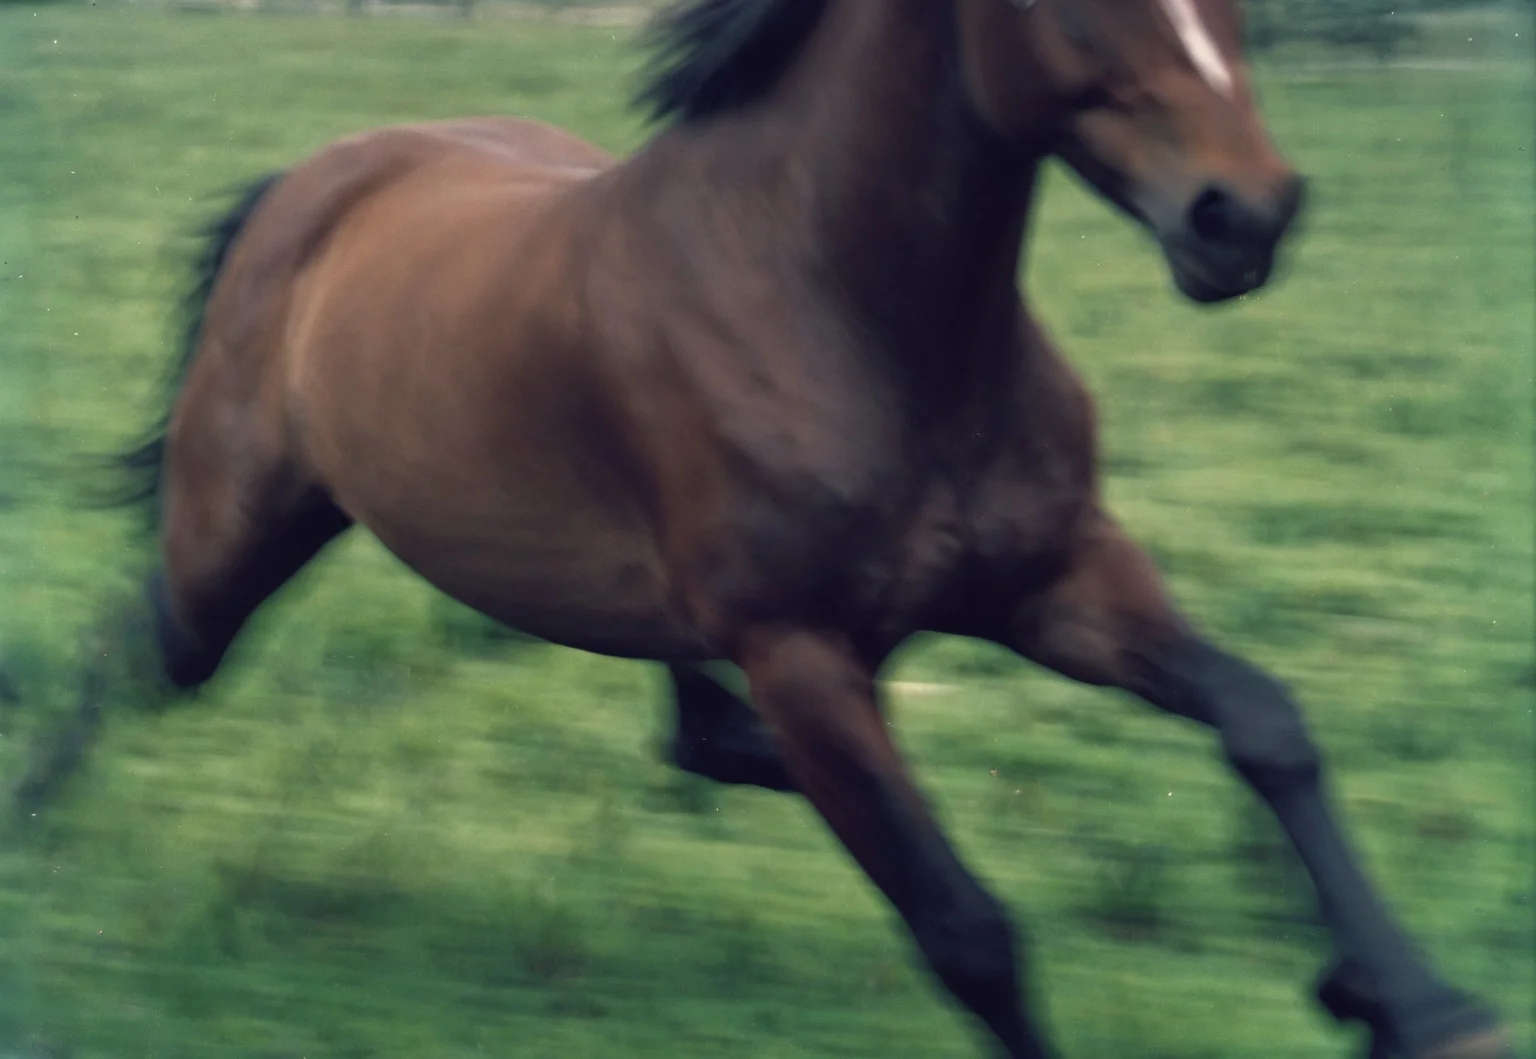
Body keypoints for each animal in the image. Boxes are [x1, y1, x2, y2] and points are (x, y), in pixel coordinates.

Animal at [79, 0, 1510, 1056]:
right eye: (1069, 5)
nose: (1246, 214)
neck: (846, 308)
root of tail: (307, 185)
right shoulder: (801, 648)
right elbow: (967, 929)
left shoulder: (1056, 580)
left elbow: (1268, 723)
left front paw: (1412, 1000)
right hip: (230, 548)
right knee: (133, 646)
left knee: (697, 735)